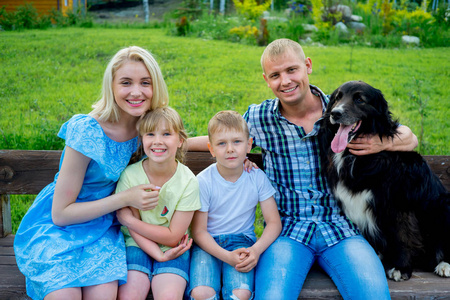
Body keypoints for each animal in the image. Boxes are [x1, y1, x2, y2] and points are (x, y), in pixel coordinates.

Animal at [318, 80, 448, 282]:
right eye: (337, 98)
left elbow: (403, 235)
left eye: (360, 99)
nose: (335, 113)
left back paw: (443, 264)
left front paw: (401, 267)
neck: (354, 156)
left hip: (442, 206)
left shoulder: (399, 205)